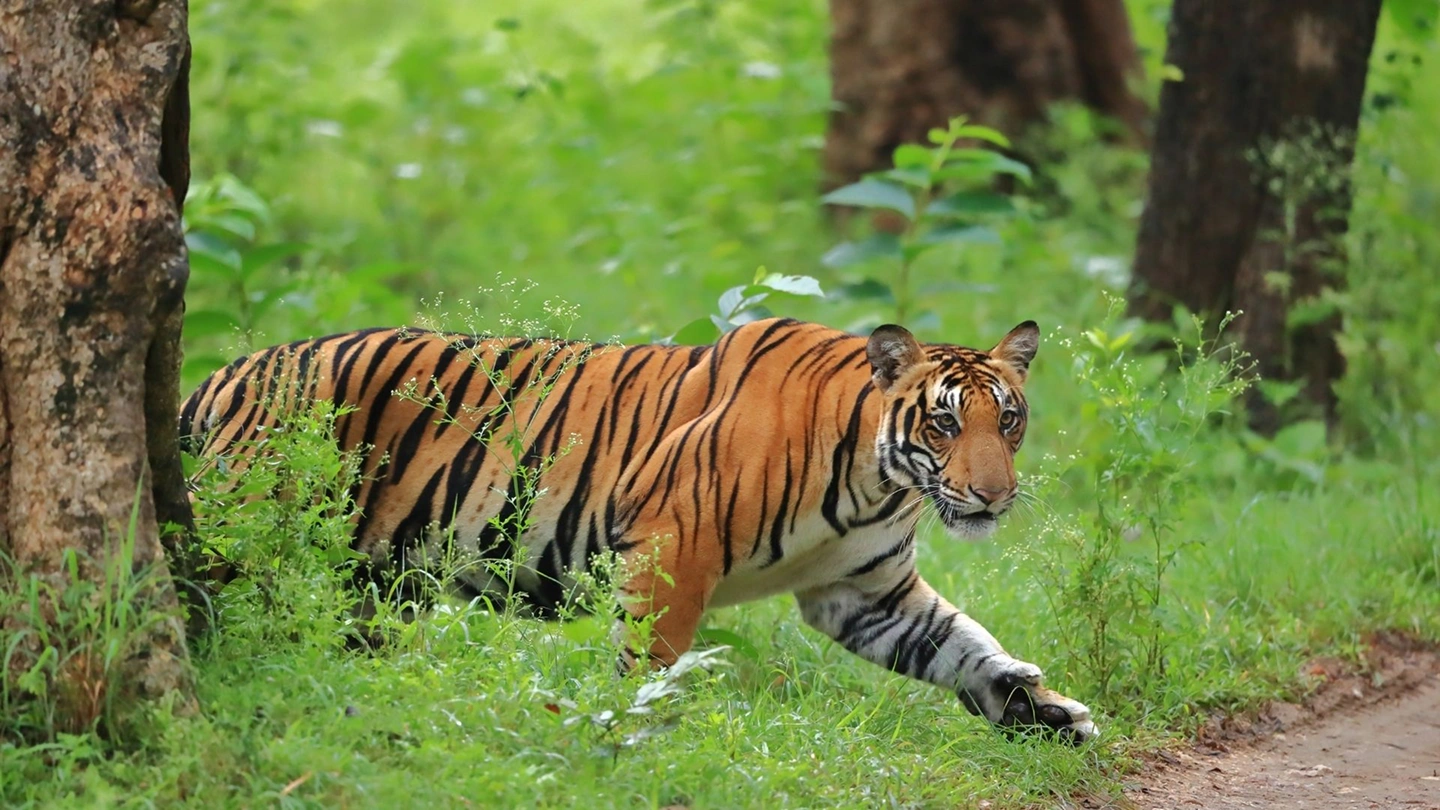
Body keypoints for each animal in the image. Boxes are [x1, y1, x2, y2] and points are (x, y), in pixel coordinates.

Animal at [179, 317, 1098, 742]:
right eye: (944, 424)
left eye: (1008, 421)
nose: (993, 497)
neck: (879, 480)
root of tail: (227, 372)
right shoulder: (672, 544)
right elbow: (651, 665)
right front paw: (636, 740)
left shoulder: (863, 592)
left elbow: (962, 644)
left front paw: (1043, 710)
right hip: (243, 527)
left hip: (372, 584)